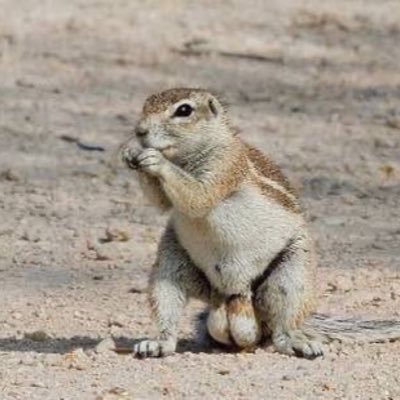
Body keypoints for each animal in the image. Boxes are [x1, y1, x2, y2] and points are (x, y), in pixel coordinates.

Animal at [120, 87, 400, 360]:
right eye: (147, 102)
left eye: (184, 110)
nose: (140, 131)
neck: (185, 157)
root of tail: (233, 292)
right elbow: (160, 203)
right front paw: (130, 151)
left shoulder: (226, 167)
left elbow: (198, 197)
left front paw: (155, 160)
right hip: (171, 262)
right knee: (167, 304)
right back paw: (157, 344)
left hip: (292, 272)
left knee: (283, 325)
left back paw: (297, 343)